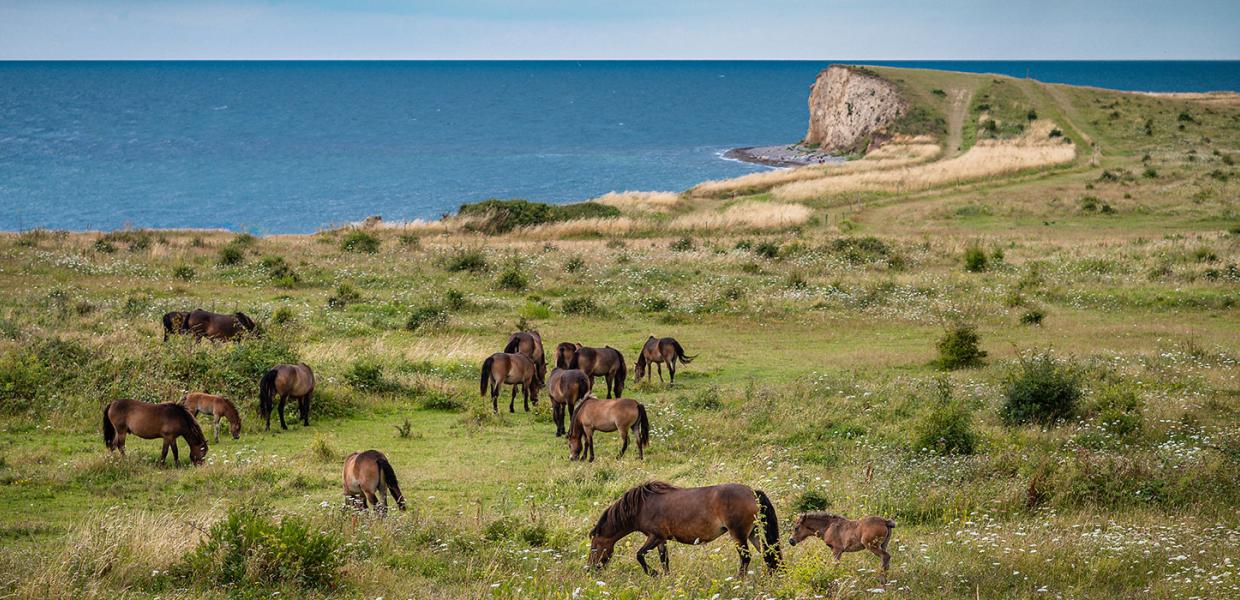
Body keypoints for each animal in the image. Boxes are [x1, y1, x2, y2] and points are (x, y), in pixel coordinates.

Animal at [585, 483, 778, 577]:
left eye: (594, 548)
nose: (589, 569)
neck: (641, 506)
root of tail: (752, 492)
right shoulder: (661, 540)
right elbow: (664, 560)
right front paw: (666, 578)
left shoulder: (654, 536)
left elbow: (639, 555)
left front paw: (653, 574)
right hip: (753, 533)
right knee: (768, 554)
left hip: (738, 535)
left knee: (746, 558)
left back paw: (739, 580)